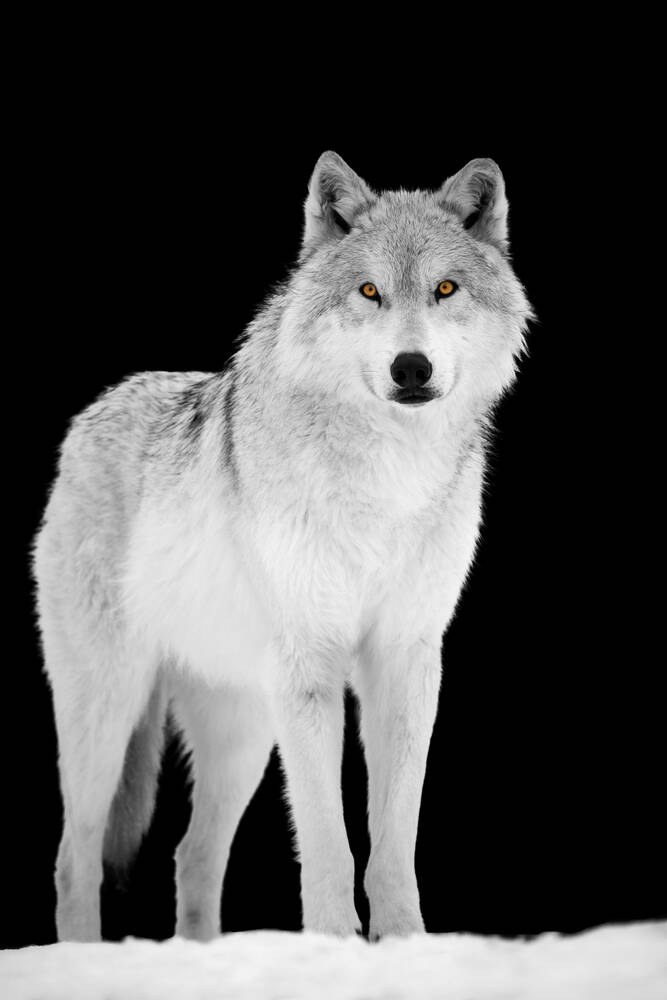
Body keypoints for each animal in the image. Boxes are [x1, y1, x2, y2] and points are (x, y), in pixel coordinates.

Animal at [30, 151, 535, 943]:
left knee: (191, 856)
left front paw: (406, 945)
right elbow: (328, 840)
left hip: (243, 731)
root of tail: (92, 413)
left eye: (444, 289)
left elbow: (393, 840)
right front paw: (334, 944)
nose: (411, 368)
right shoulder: (310, 661)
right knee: (73, 859)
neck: (385, 477)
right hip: (109, 708)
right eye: (369, 292)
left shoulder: (406, 657)